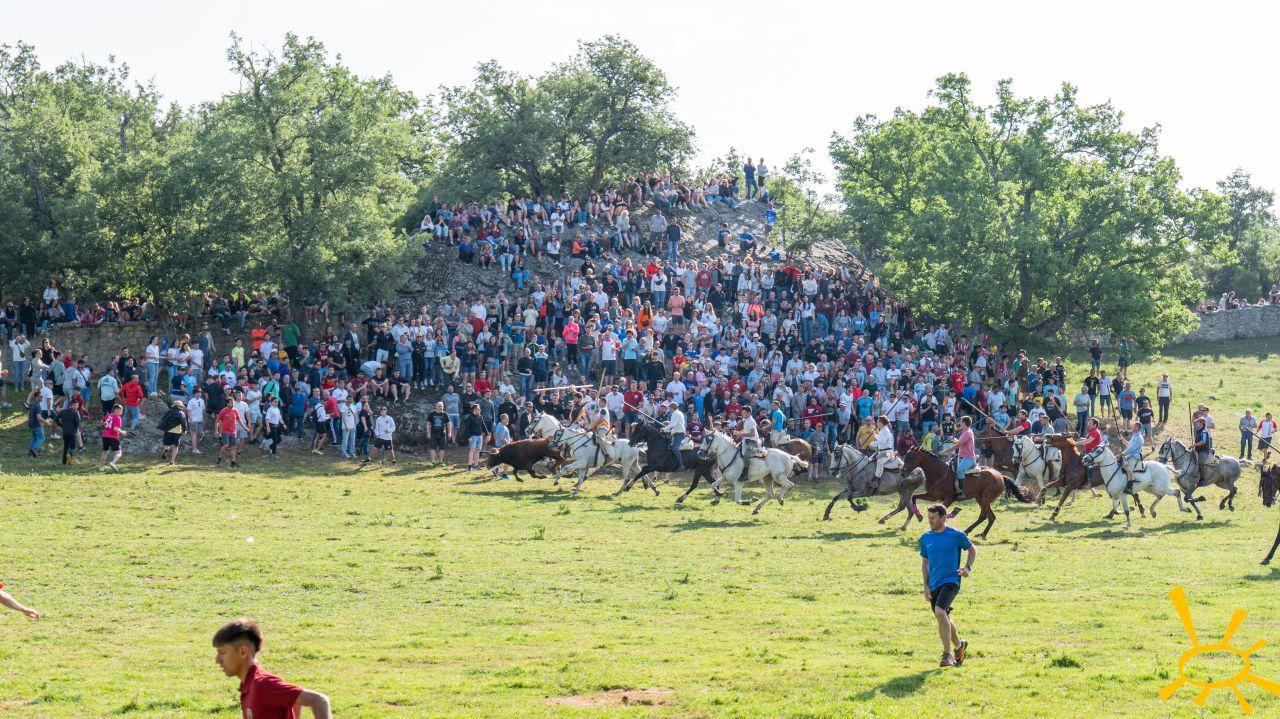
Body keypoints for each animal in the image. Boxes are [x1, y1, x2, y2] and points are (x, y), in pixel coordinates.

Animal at [901, 447, 1030, 539]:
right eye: (905, 456)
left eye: (911, 457)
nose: (902, 472)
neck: (939, 473)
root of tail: (1001, 475)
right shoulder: (932, 495)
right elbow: (914, 497)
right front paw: (919, 516)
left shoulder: (949, 499)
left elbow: (943, 510)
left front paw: (954, 512)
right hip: (980, 498)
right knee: (990, 516)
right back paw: (981, 533)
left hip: (985, 499)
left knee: (985, 515)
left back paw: (969, 530)